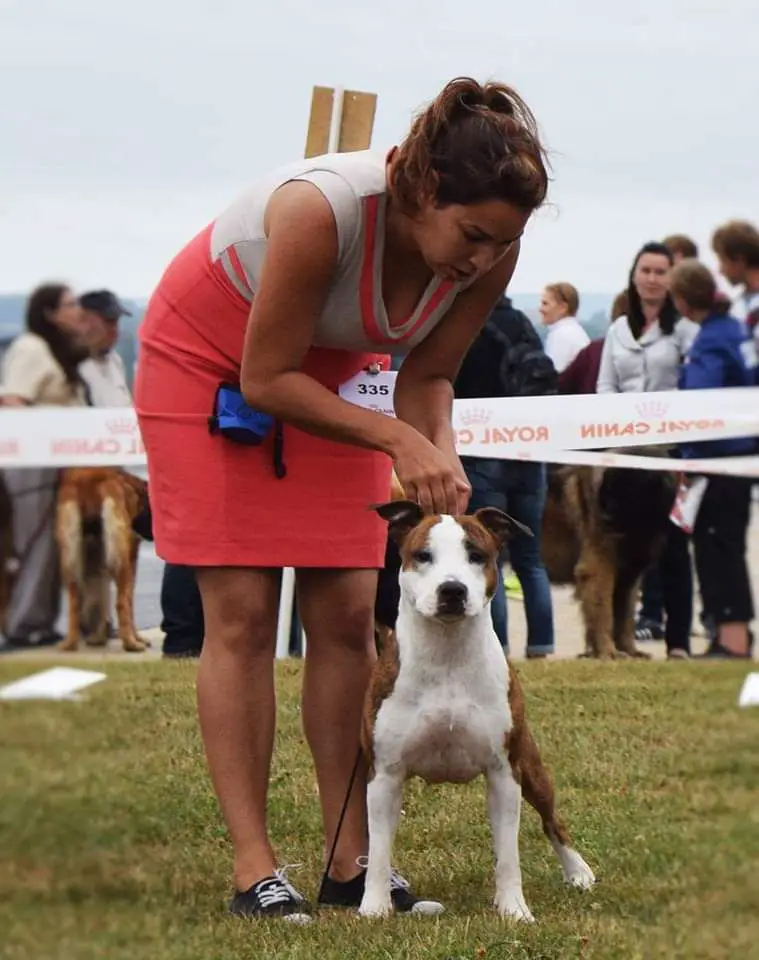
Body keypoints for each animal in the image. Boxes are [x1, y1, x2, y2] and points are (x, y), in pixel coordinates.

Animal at [55, 468, 150, 656]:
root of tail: (88, 481)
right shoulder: (131, 556)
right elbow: (129, 602)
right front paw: (137, 637)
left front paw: (98, 636)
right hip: (121, 560)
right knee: (121, 603)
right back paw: (131, 644)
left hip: (71, 555)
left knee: (74, 601)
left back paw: (70, 643)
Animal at [360, 498, 596, 920]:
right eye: (423, 556)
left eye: (477, 555)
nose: (452, 589)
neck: (447, 654)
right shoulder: (384, 774)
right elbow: (379, 850)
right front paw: (373, 907)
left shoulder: (505, 773)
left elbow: (509, 856)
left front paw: (514, 909)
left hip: (532, 768)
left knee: (553, 821)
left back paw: (578, 871)